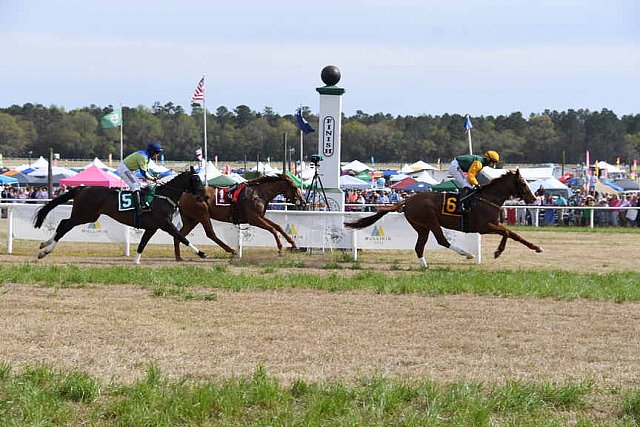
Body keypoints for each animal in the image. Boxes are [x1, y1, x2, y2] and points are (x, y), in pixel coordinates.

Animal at [33, 167, 208, 264]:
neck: (163, 196)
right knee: (64, 225)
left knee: (63, 223)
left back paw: (44, 246)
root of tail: (83, 187)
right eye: (196, 180)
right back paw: (45, 251)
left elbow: (142, 243)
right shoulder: (165, 224)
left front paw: (136, 261)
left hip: (88, 216)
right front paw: (201, 253)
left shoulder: (152, 227)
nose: (205, 196)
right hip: (84, 215)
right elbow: (182, 237)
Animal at [174, 172, 306, 260]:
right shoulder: (253, 219)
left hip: (191, 220)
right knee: (211, 234)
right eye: (295, 187)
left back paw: (178, 257)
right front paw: (280, 249)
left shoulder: (260, 216)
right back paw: (232, 251)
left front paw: (293, 243)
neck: (258, 193)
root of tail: (183, 195)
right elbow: (272, 229)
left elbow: (278, 226)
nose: (303, 202)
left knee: (179, 235)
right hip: (202, 215)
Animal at [344, 170, 544, 268]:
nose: (533, 197)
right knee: (441, 240)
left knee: (419, 246)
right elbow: (509, 233)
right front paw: (500, 251)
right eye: (523, 183)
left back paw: (424, 264)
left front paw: (534, 247)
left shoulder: (493, 224)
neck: (487, 198)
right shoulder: (484, 225)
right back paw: (466, 254)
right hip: (430, 220)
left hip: (421, 226)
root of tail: (407, 200)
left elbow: (511, 233)